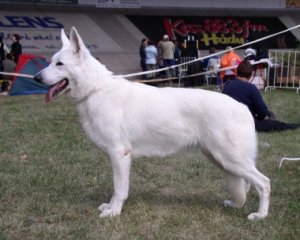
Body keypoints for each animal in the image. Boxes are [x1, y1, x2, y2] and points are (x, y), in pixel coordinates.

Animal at [34, 27, 270, 220]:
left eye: (59, 64)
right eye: (51, 61)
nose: (36, 78)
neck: (95, 89)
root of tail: (244, 108)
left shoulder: (119, 154)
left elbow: (119, 189)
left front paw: (114, 212)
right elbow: (117, 189)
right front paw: (110, 207)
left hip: (230, 160)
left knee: (264, 183)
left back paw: (260, 215)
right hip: (223, 161)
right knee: (245, 185)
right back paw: (236, 204)